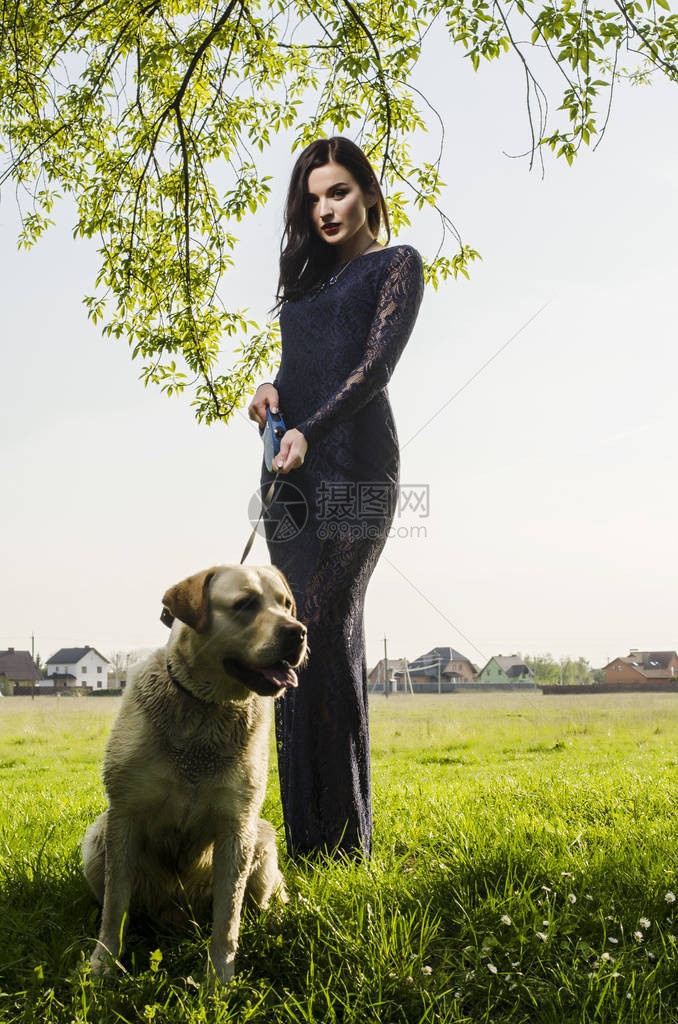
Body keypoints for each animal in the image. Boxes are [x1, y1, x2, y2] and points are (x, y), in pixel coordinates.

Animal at [80, 569, 311, 983]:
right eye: (245, 603)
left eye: (286, 604)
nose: (299, 632)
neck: (205, 707)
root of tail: (177, 915)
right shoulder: (124, 814)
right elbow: (114, 905)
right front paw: (104, 962)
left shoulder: (237, 825)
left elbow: (227, 917)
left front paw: (219, 978)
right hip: (96, 838)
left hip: (262, 838)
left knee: (267, 898)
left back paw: (279, 916)